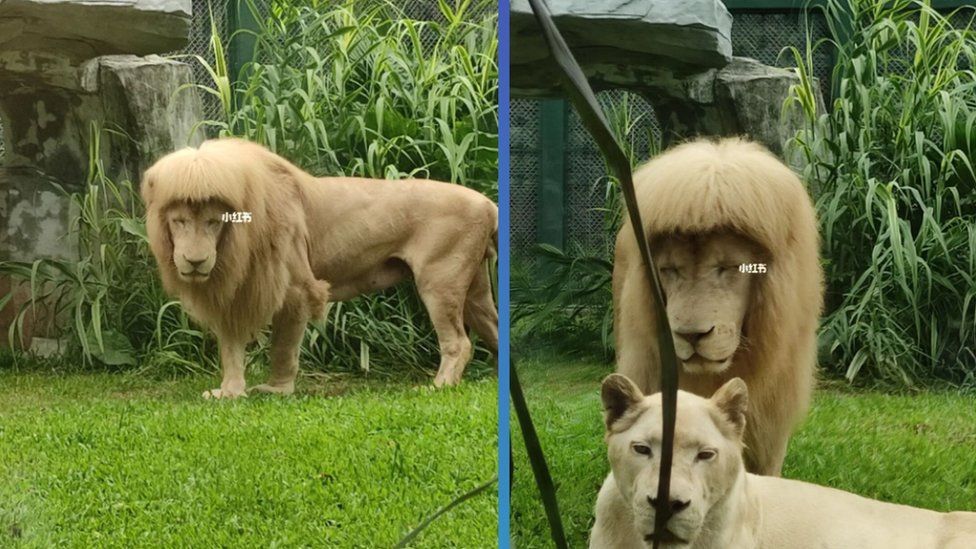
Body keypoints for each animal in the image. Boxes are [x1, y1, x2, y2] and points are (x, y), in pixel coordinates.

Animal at [141, 138, 498, 398]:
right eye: (179, 221)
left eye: (214, 222)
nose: (195, 261)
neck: (234, 245)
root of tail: (489, 204)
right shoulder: (233, 293)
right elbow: (230, 349)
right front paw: (229, 393)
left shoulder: (297, 289)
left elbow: (283, 347)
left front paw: (276, 390)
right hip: (475, 291)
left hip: (440, 281)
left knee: (459, 342)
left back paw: (438, 386)